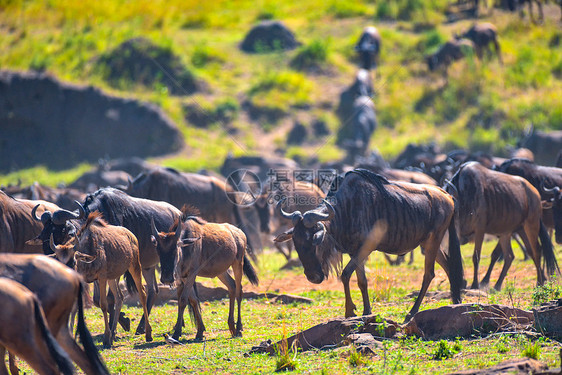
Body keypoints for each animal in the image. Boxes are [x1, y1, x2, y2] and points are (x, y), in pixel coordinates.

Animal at [52, 213, 152, 348]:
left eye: (73, 261)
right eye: (57, 261)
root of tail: (131, 235)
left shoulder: (102, 277)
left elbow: (103, 304)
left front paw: (106, 338)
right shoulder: (85, 280)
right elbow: (76, 307)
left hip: (135, 267)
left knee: (142, 294)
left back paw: (148, 333)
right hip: (113, 277)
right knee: (119, 298)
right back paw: (114, 334)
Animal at [152, 213, 260, 342]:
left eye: (176, 248)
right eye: (158, 249)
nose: (167, 278)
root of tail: (240, 233)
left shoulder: (192, 274)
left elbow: (183, 300)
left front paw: (177, 333)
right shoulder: (184, 277)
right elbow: (193, 300)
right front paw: (200, 331)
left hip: (238, 263)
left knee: (239, 291)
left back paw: (238, 328)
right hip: (221, 272)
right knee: (232, 286)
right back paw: (232, 327)